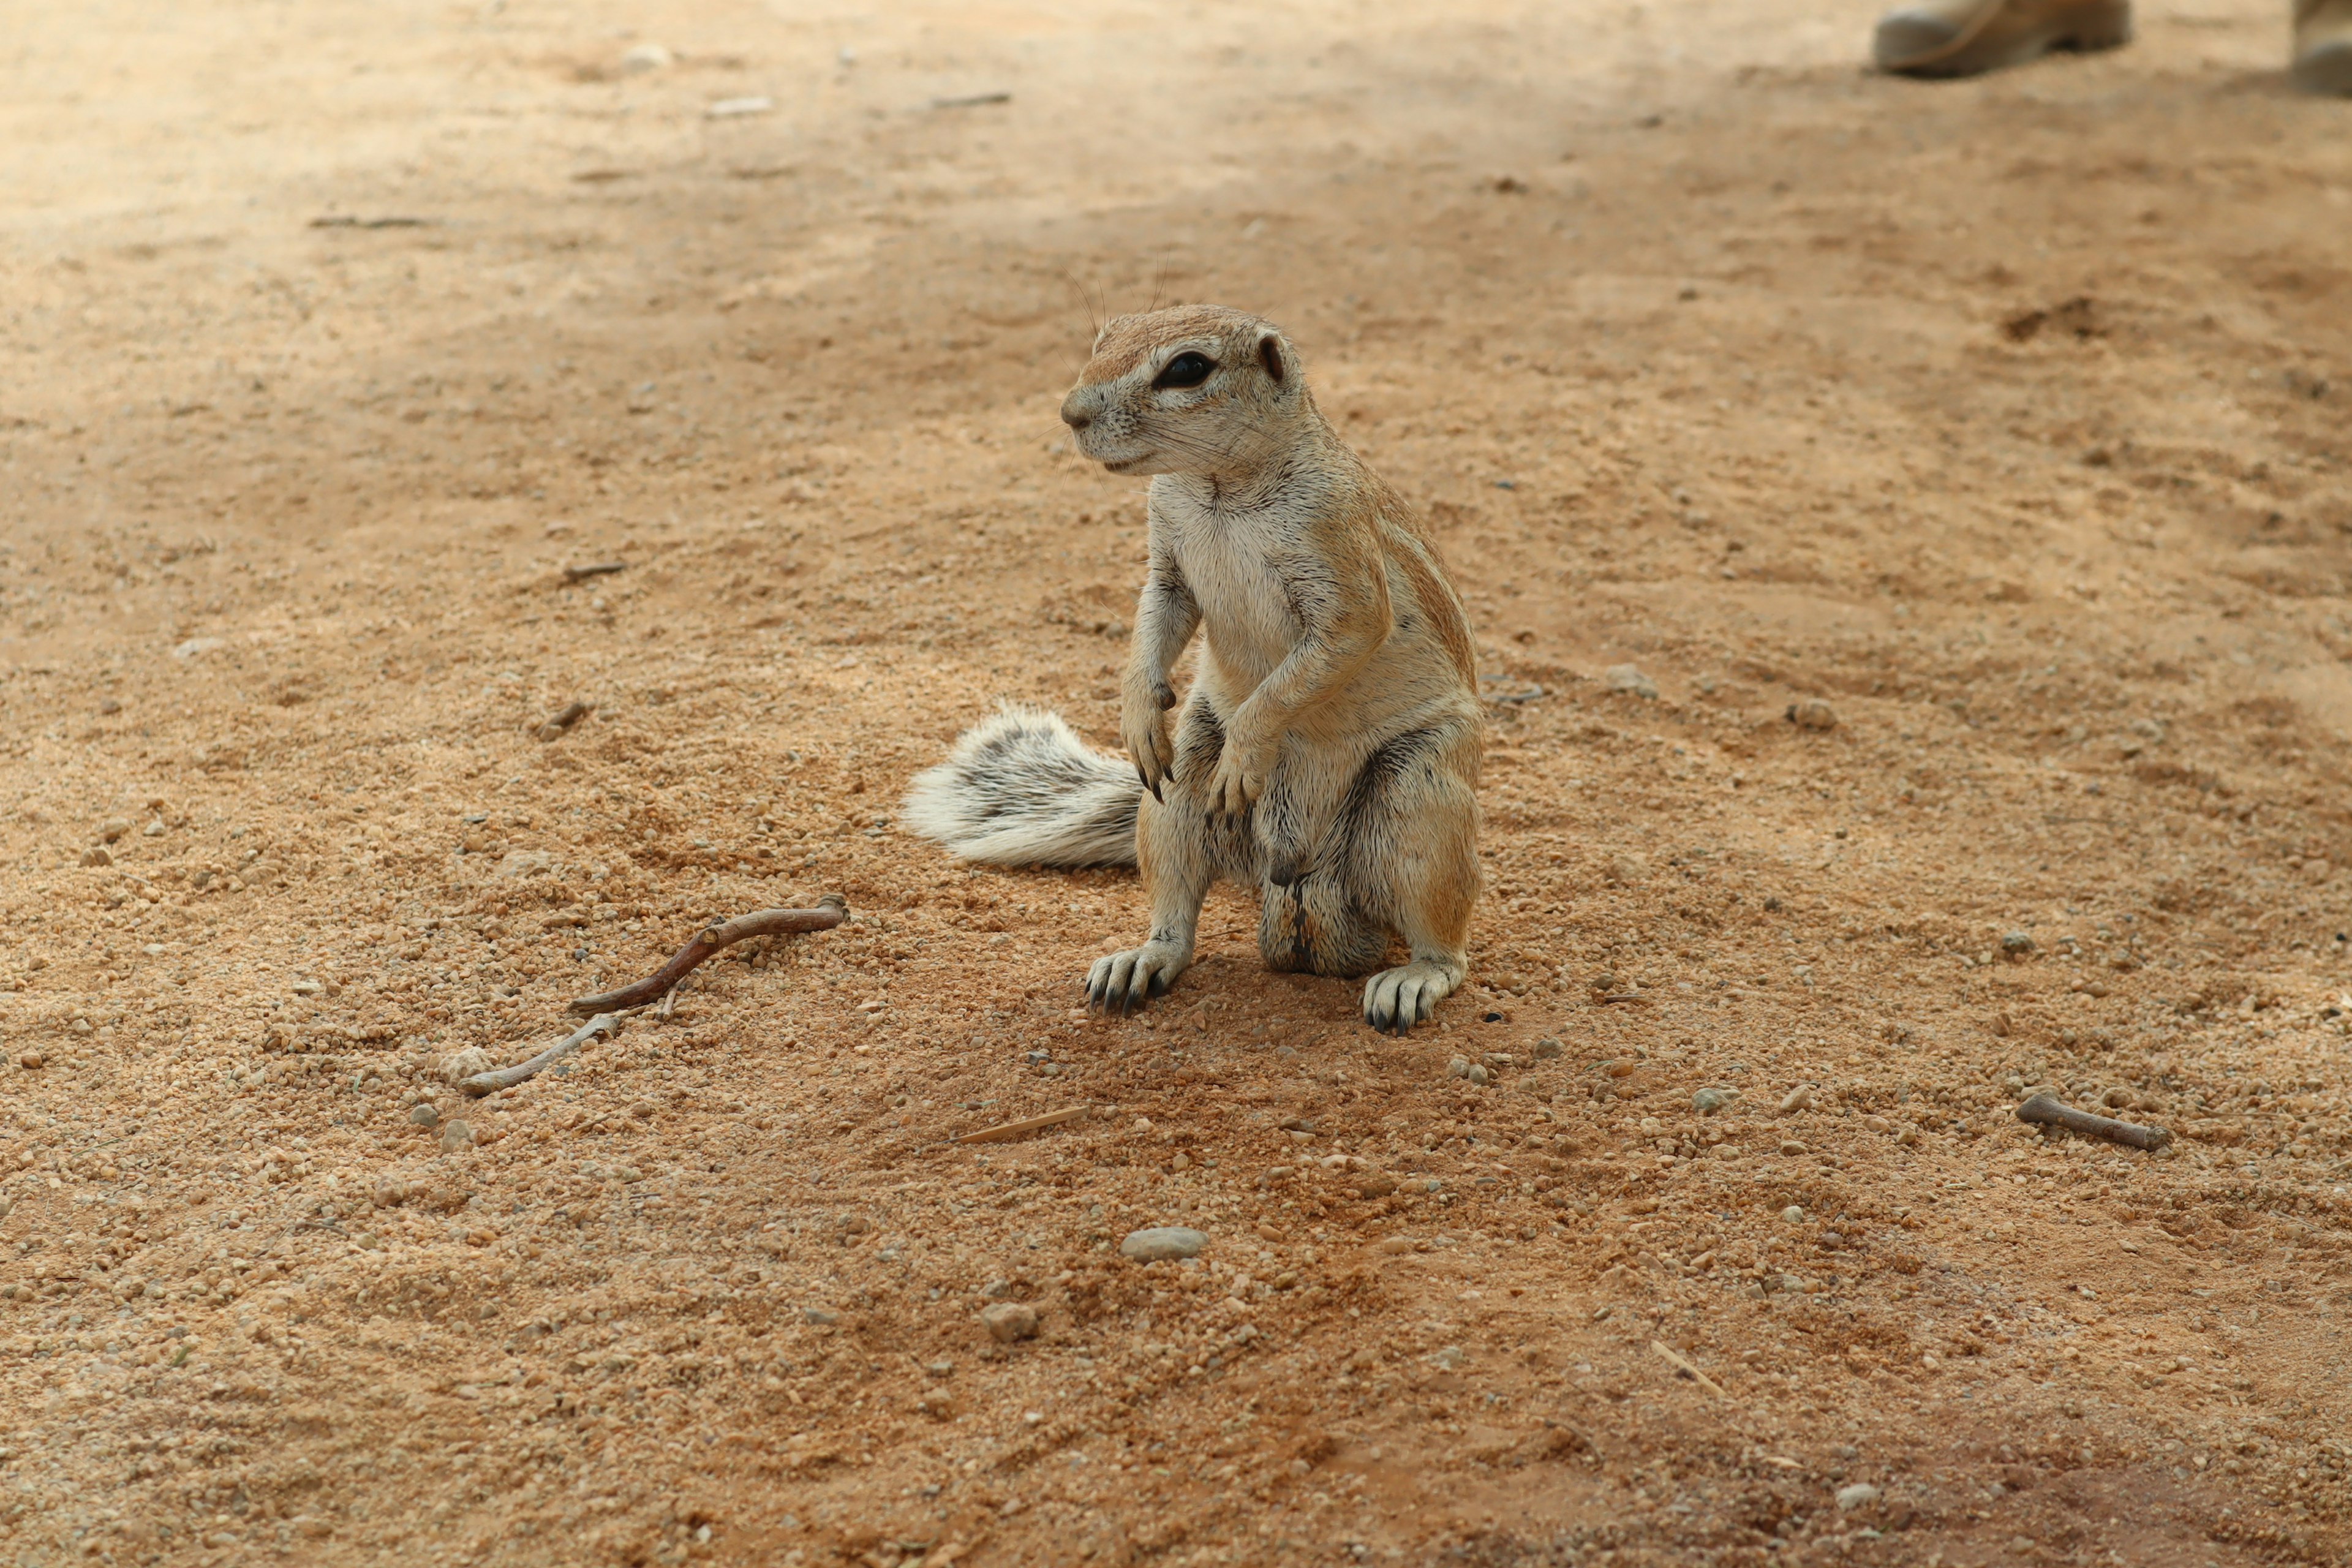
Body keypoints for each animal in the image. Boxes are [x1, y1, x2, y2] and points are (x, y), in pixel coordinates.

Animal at [903, 307, 1477, 1044]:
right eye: (1103, 337)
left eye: (1187, 369)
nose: (1070, 413)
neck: (1218, 491)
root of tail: (1300, 882)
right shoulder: (1167, 552)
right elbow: (1156, 614)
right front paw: (1138, 715)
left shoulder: (1342, 568)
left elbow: (1311, 664)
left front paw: (1247, 752)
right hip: (1177, 792)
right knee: (1177, 912)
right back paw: (1140, 960)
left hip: (1421, 796)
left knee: (1445, 941)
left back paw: (1412, 979)